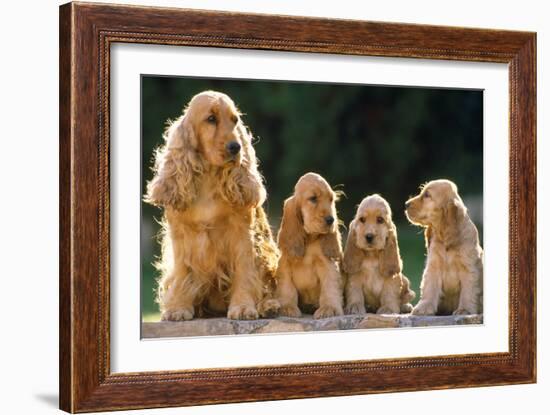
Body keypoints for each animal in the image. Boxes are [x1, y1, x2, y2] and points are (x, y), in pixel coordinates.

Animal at [144, 92, 280, 322]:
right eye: (211, 119)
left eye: (235, 120)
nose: (236, 147)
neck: (208, 179)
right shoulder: (180, 236)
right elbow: (182, 273)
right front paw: (178, 308)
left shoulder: (242, 233)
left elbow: (245, 271)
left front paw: (243, 307)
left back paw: (268, 306)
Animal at [276, 172, 344, 318]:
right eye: (313, 198)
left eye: (331, 199)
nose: (331, 220)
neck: (310, 238)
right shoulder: (285, 264)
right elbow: (287, 288)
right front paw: (287, 307)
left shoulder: (327, 265)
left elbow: (329, 287)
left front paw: (329, 308)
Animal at [408, 179, 486, 316]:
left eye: (427, 195)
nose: (406, 204)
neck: (444, 238)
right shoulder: (433, 266)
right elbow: (430, 288)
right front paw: (423, 307)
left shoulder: (469, 268)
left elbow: (468, 290)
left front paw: (464, 310)